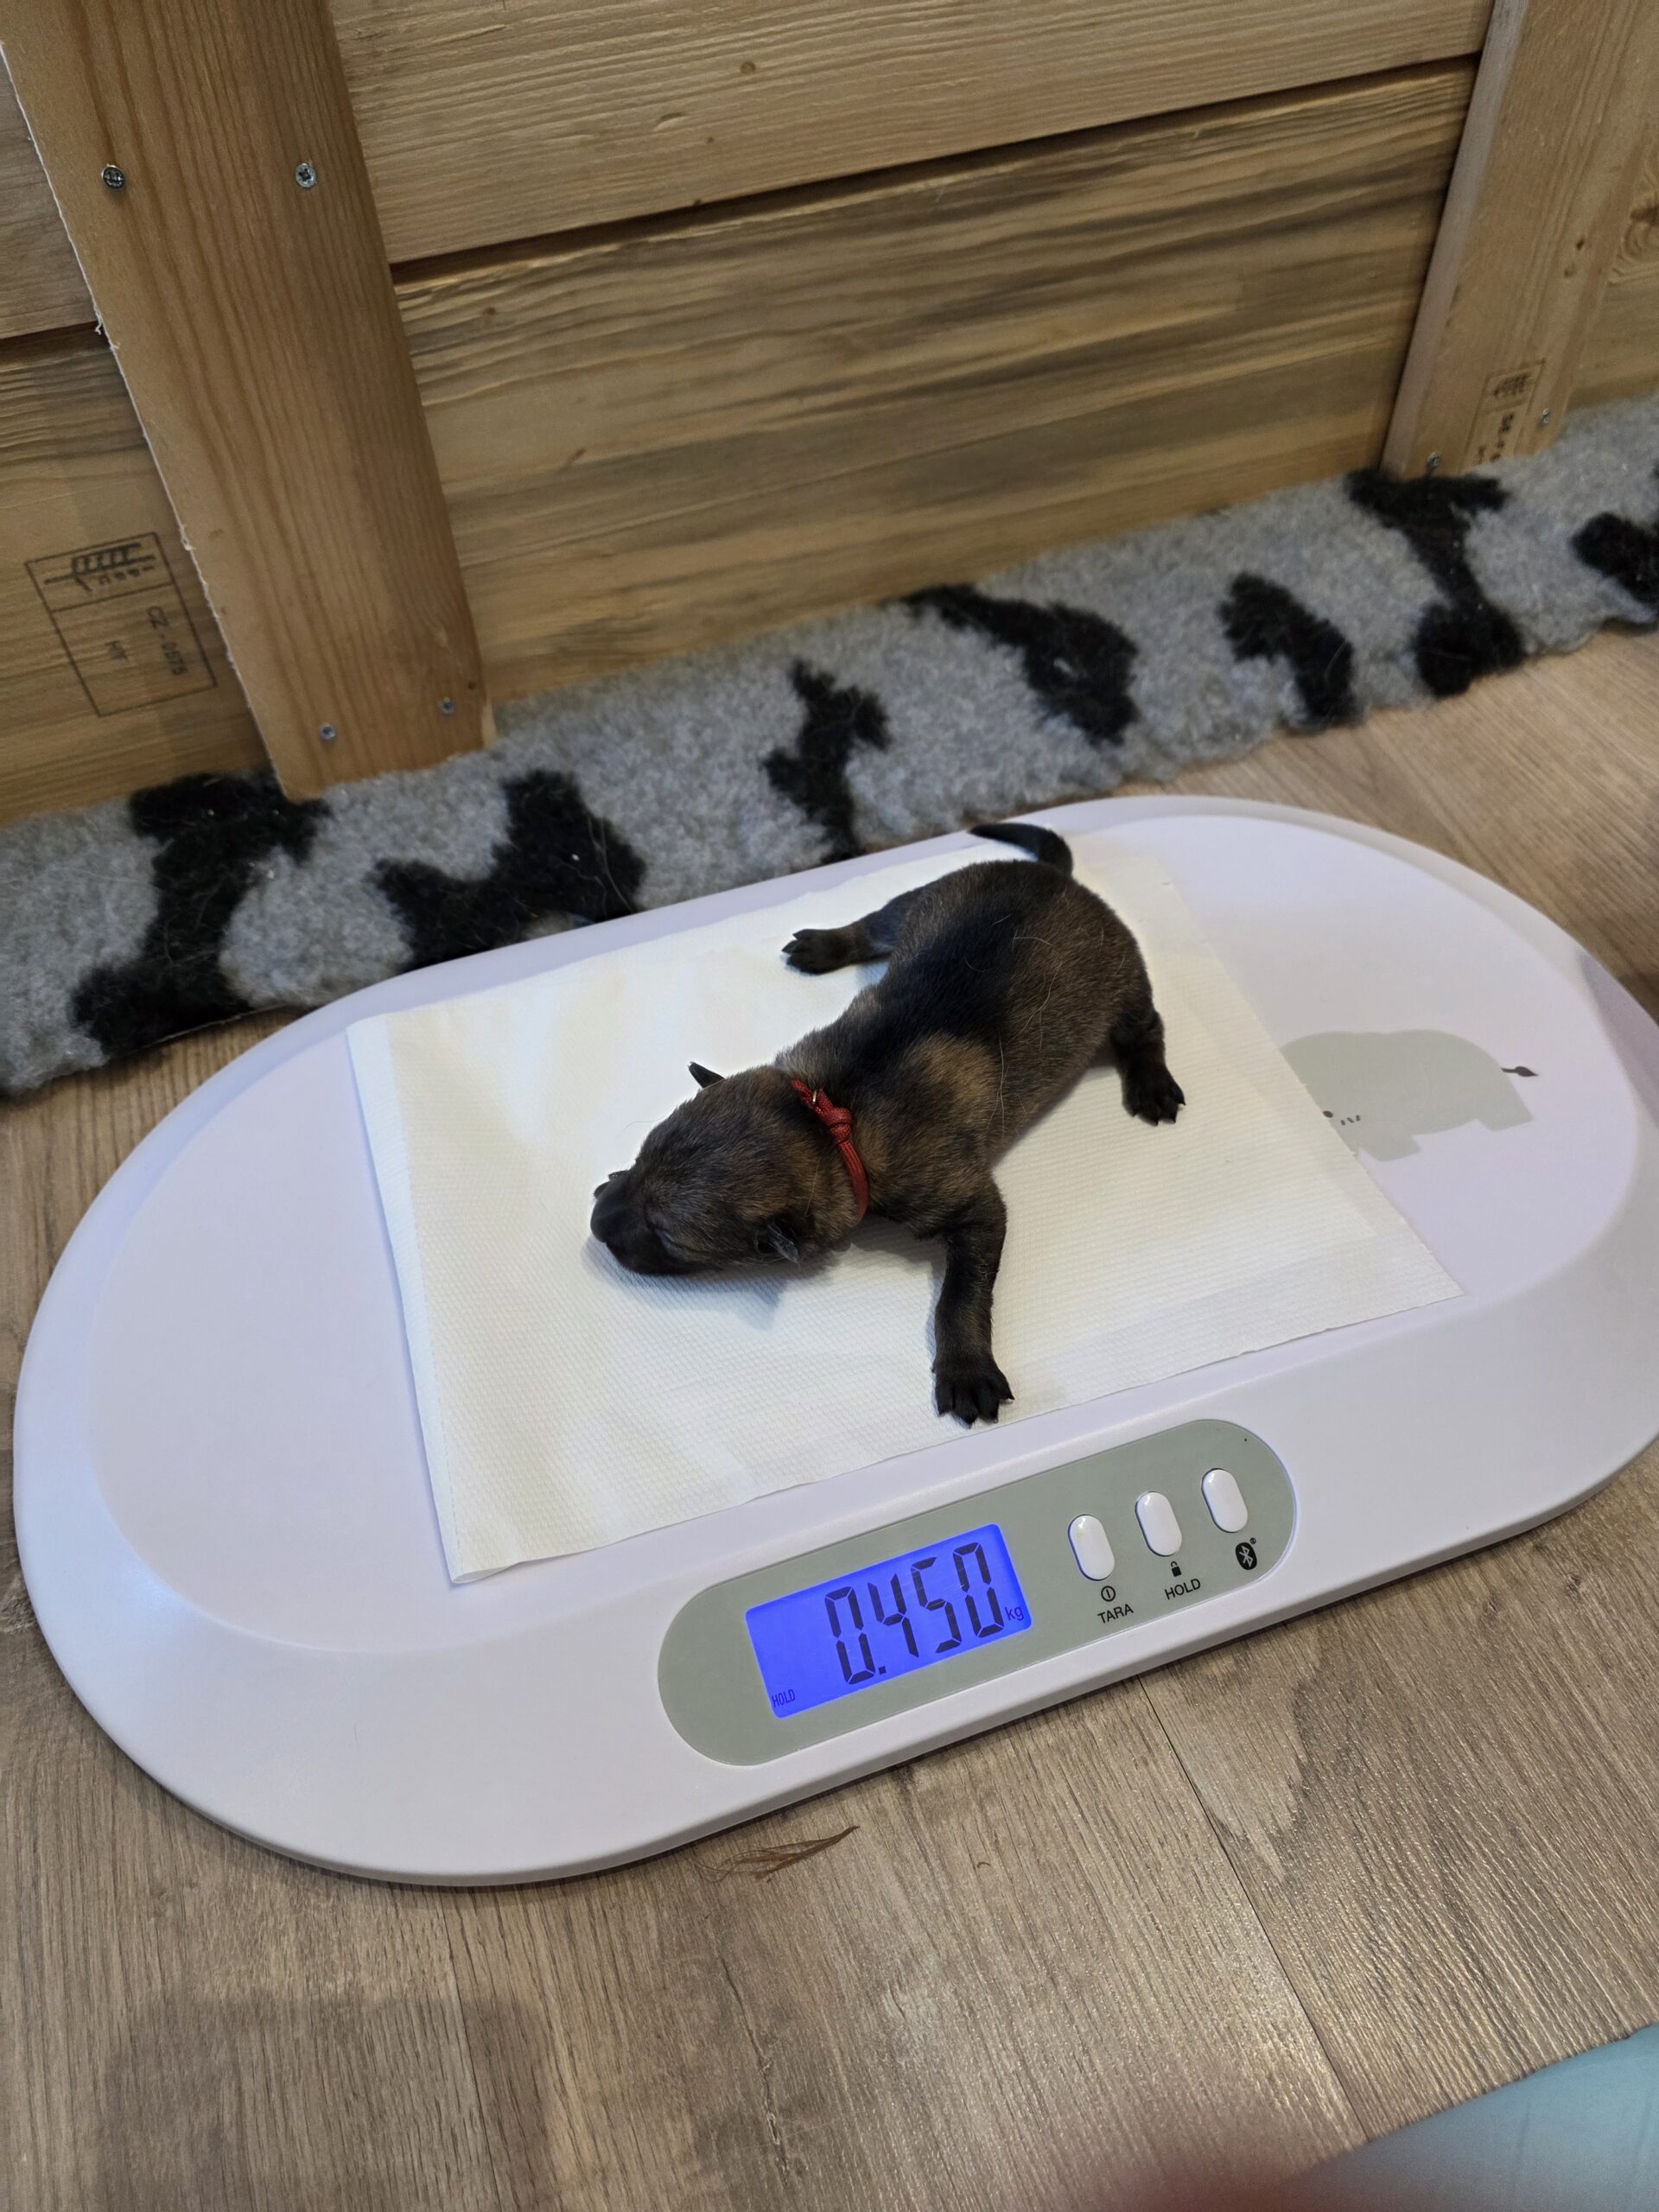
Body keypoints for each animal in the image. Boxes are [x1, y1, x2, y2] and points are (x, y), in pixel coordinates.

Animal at [590, 822, 1184, 1423]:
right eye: (639, 1158)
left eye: (666, 1234)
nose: (595, 1223)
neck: (830, 1123)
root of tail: (1056, 877)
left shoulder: (972, 1206)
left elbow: (960, 1295)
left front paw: (966, 1368)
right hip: (922, 900)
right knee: (872, 924)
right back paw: (823, 945)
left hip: (1124, 982)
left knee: (1147, 1028)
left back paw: (1153, 1083)